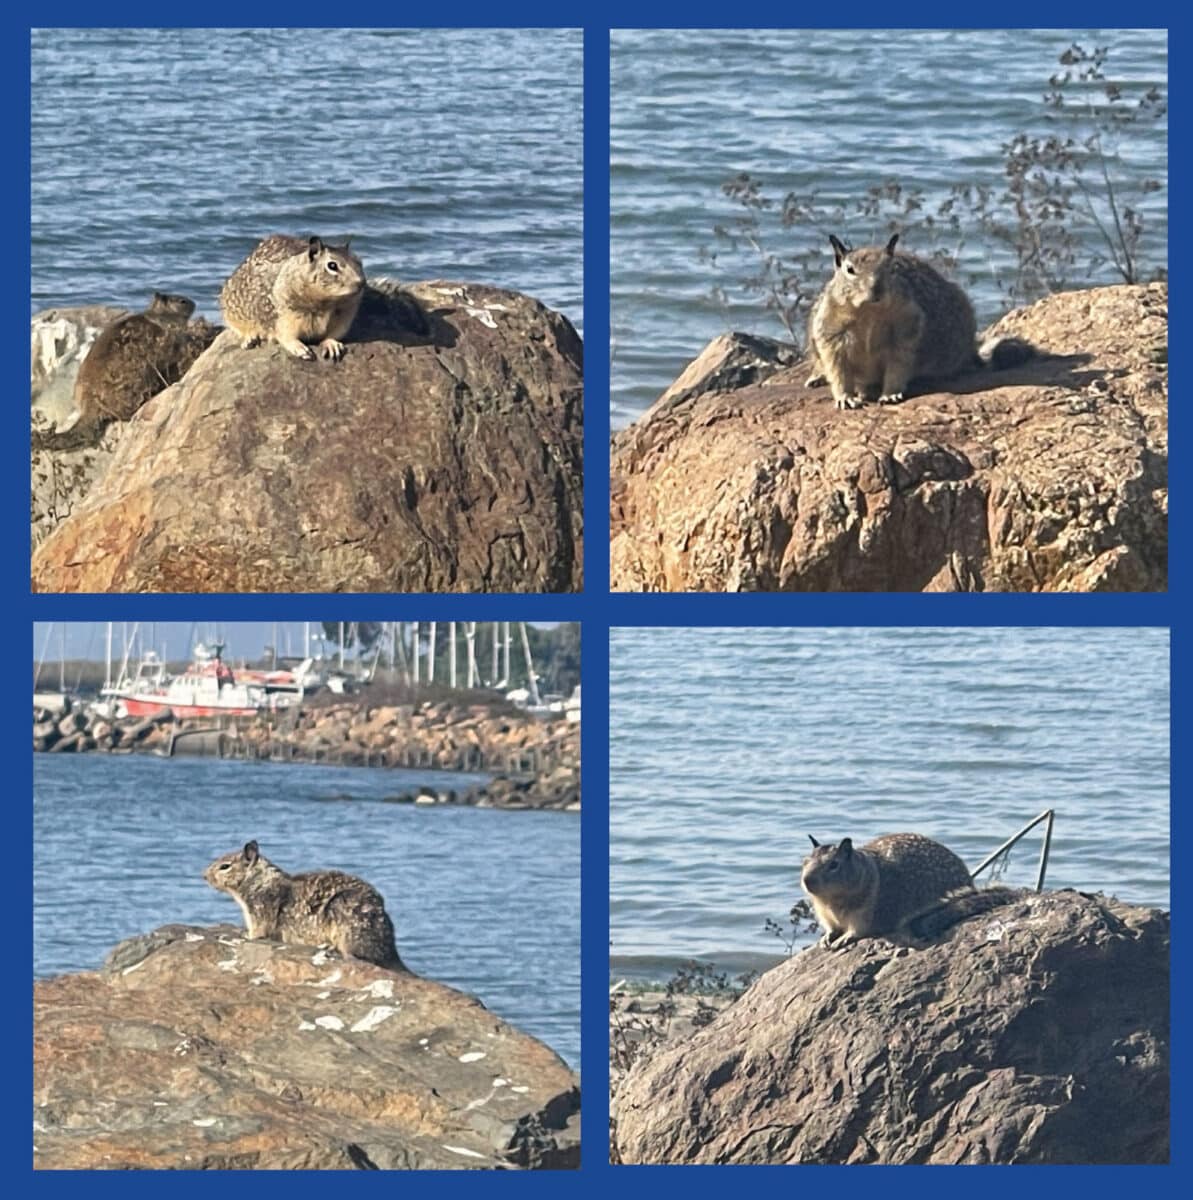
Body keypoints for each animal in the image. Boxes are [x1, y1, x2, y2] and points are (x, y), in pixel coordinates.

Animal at [203, 840, 406, 971]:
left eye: (225, 866)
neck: (259, 881)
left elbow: (258, 933)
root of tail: (391, 948)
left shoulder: (260, 911)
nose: (203, 876)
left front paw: (247, 936)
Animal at [219, 234, 366, 361]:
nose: (362, 283)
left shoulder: (344, 317)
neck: (326, 302)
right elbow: (286, 336)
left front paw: (332, 344)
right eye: (332, 265)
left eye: (359, 262)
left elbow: (335, 335)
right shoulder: (285, 317)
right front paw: (300, 349)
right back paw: (250, 339)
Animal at [801, 832, 1011, 950]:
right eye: (805, 860)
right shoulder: (825, 915)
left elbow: (858, 931)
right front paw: (826, 937)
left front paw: (844, 938)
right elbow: (831, 928)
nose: (806, 880)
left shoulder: (866, 915)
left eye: (834, 865)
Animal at [805, 233, 1032, 409]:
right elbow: (838, 370)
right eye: (850, 269)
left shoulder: (906, 330)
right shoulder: (831, 334)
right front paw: (846, 398)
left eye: (892, 268)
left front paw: (890, 394)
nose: (876, 290)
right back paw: (817, 377)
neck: (869, 313)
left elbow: (898, 366)